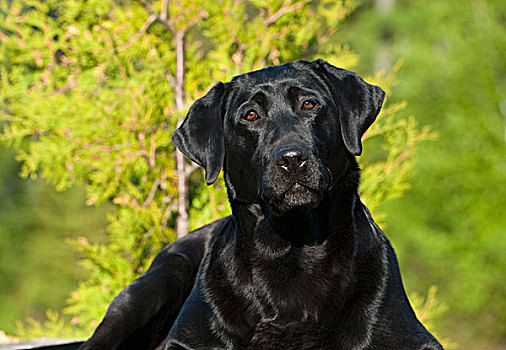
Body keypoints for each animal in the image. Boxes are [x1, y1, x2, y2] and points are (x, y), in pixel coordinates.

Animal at [80, 60, 442, 350]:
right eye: (250, 115)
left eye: (309, 104)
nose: (292, 158)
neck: (291, 248)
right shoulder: (185, 342)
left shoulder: (414, 339)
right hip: (157, 283)